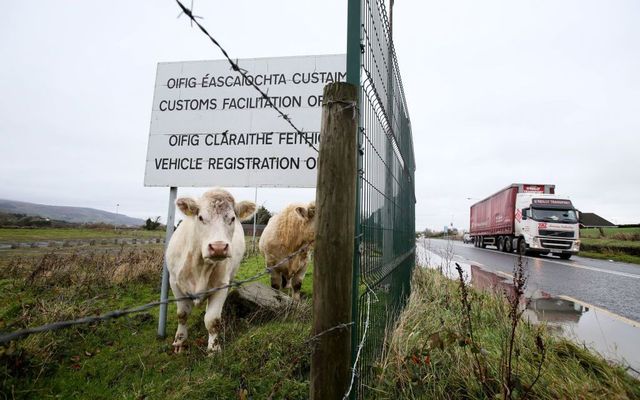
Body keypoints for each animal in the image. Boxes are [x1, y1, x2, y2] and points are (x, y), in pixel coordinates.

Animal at [168, 188, 255, 354]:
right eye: (201, 217)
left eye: (232, 218)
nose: (218, 247)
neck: (200, 266)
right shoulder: (174, 283)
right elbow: (182, 314)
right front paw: (179, 342)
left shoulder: (221, 285)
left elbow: (212, 320)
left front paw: (213, 349)